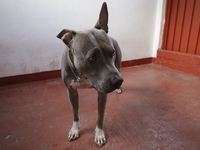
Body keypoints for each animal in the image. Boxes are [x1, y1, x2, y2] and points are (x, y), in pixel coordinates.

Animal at [56, 2, 123, 147]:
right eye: (92, 58)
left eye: (112, 53)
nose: (118, 81)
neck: (82, 75)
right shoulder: (71, 91)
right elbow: (75, 113)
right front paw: (75, 130)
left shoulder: (102, 93)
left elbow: (100, 116)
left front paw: (99, 134)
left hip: (118, 65)